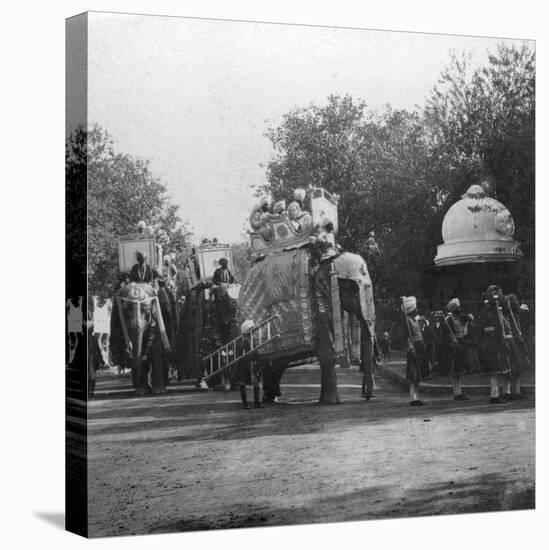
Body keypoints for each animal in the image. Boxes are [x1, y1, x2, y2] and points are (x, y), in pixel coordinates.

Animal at [238, 248, 374, 408]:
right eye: (351, 288)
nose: (366, 396)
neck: (326, 261)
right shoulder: (317, 300)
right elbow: (326, 349)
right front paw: (332, 402)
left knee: (276, 364)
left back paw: (271, 398)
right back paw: (265, 400)